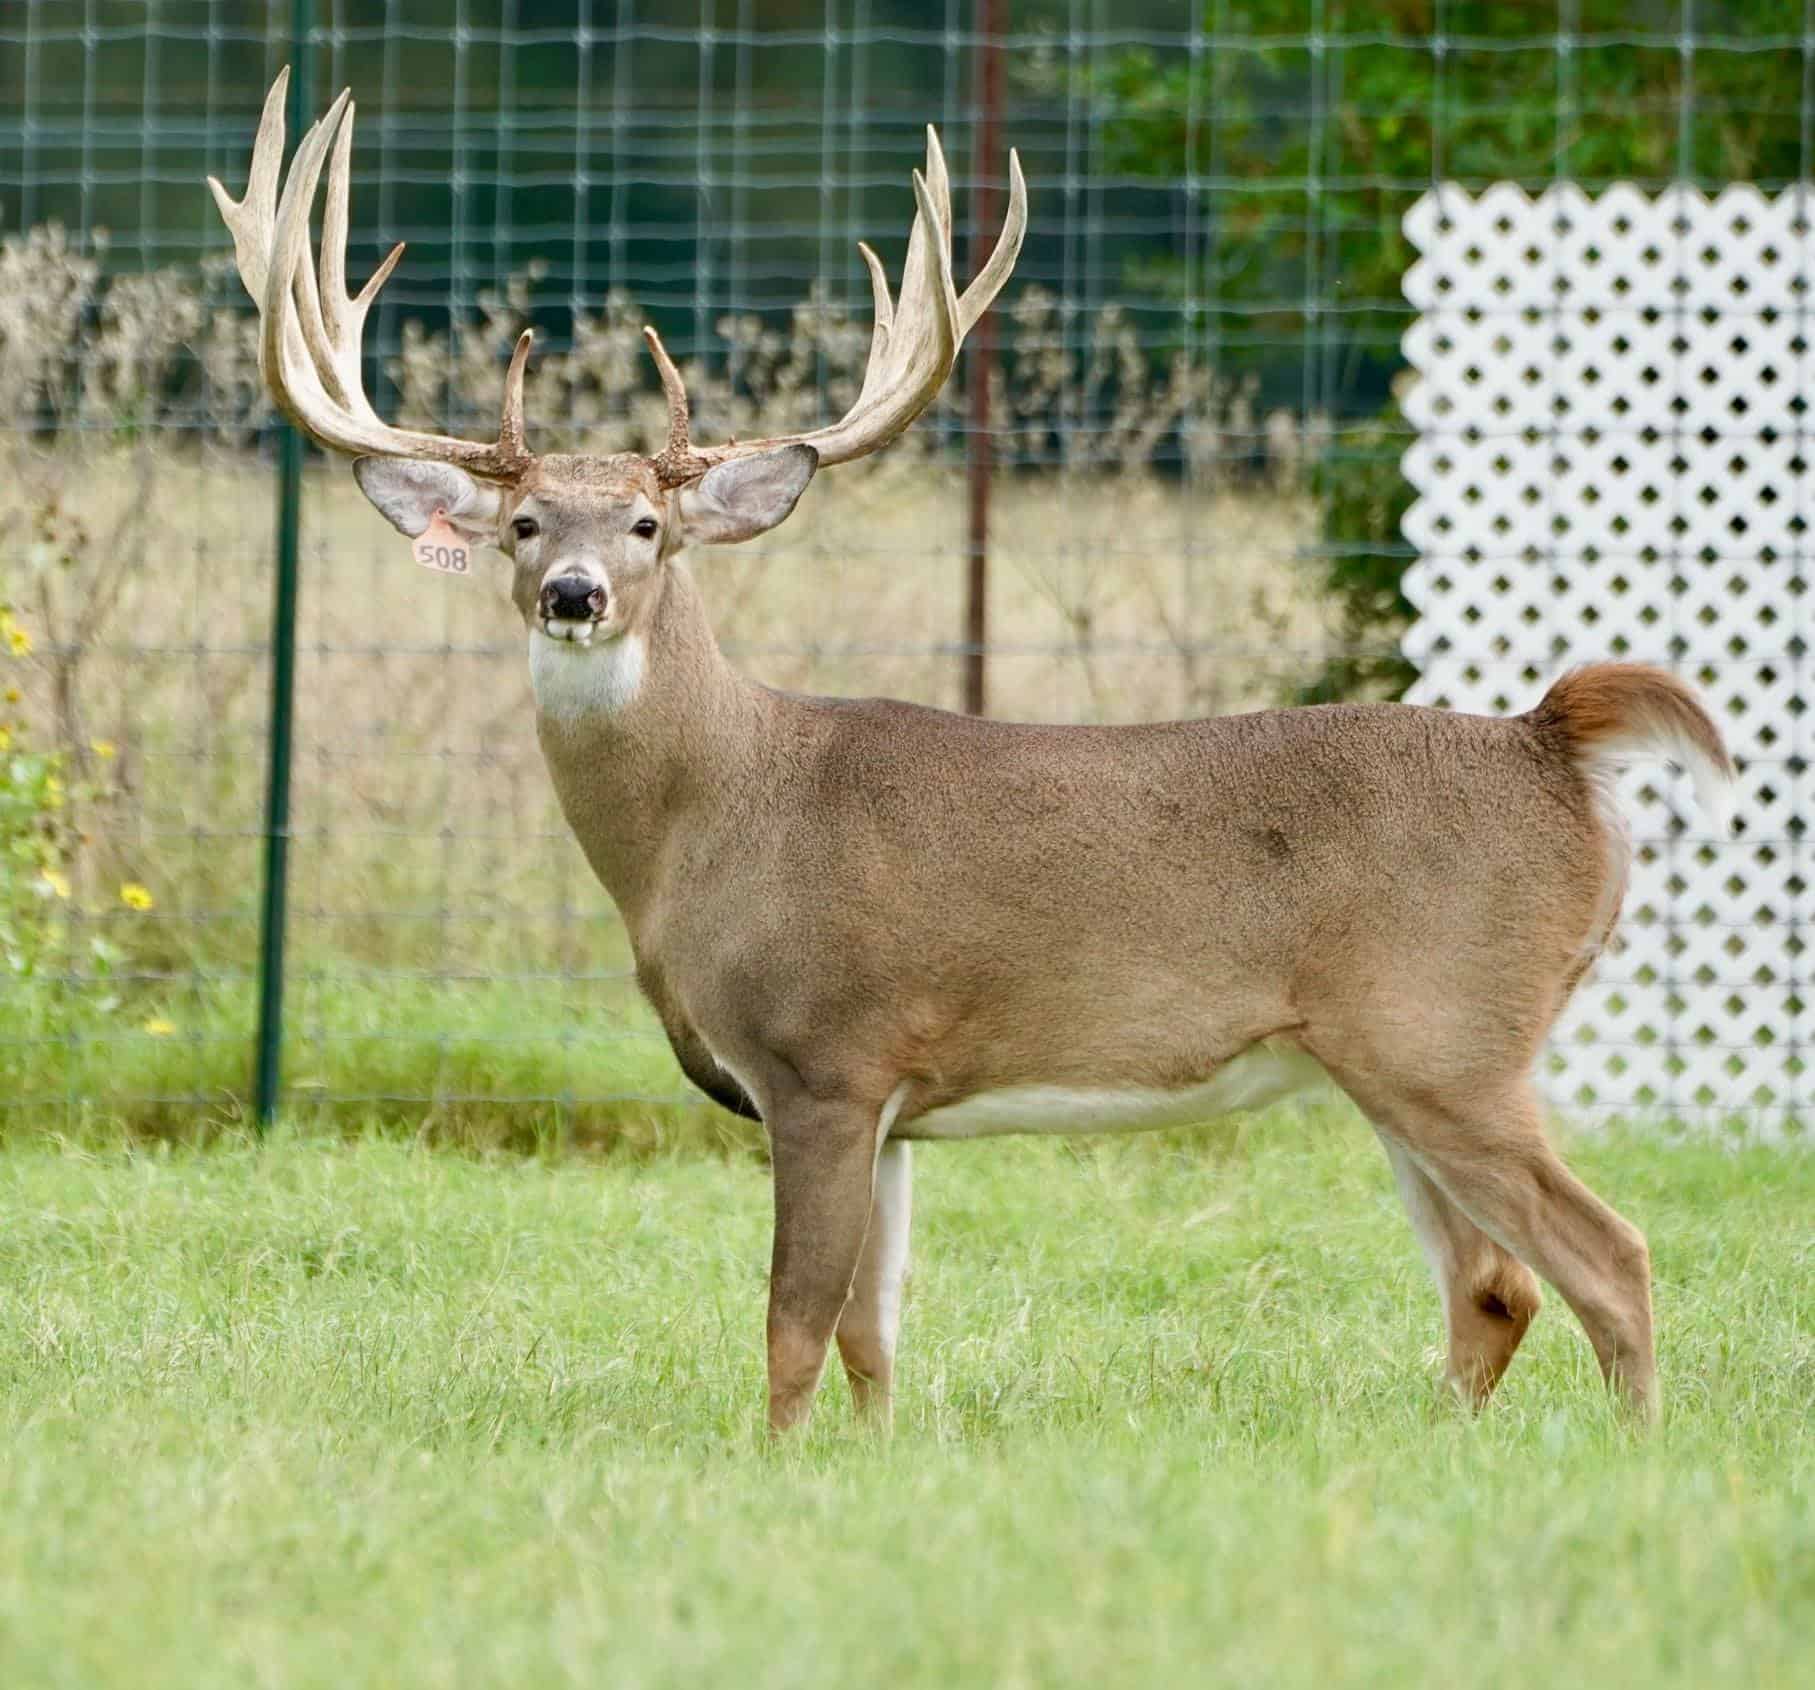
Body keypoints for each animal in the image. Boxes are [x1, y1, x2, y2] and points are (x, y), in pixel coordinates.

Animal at [211, 71, 1733, 1432]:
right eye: (525, 527)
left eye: (648, 526)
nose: (574, 595)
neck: (711, 817)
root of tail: (1546, 740)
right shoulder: (889, 1108)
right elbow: (872, 1335)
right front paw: (872, 1465)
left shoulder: (825, 1055)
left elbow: (792, 1322)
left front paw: (772, 1469)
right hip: (1399, 1059)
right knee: (1493, 1287)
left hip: (1446, 1032)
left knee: (1607, 1258)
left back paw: (1637, 1450)